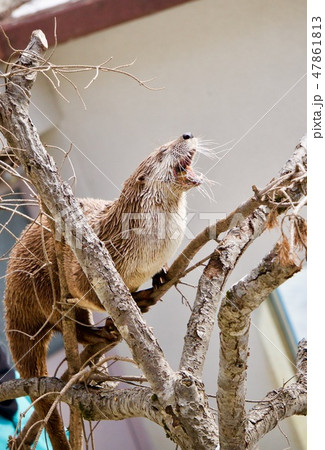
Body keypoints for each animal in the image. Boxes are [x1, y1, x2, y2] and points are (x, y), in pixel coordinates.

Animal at [3, 132, 200, 448]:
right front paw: (133, 301)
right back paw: (103, 331)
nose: (186, 134)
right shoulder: (87, 262)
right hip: (39, 286)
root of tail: (10, 295)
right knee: (65, 322)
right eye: (162, 151)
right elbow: (87, 290)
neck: (150, 243)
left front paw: (159, 276)